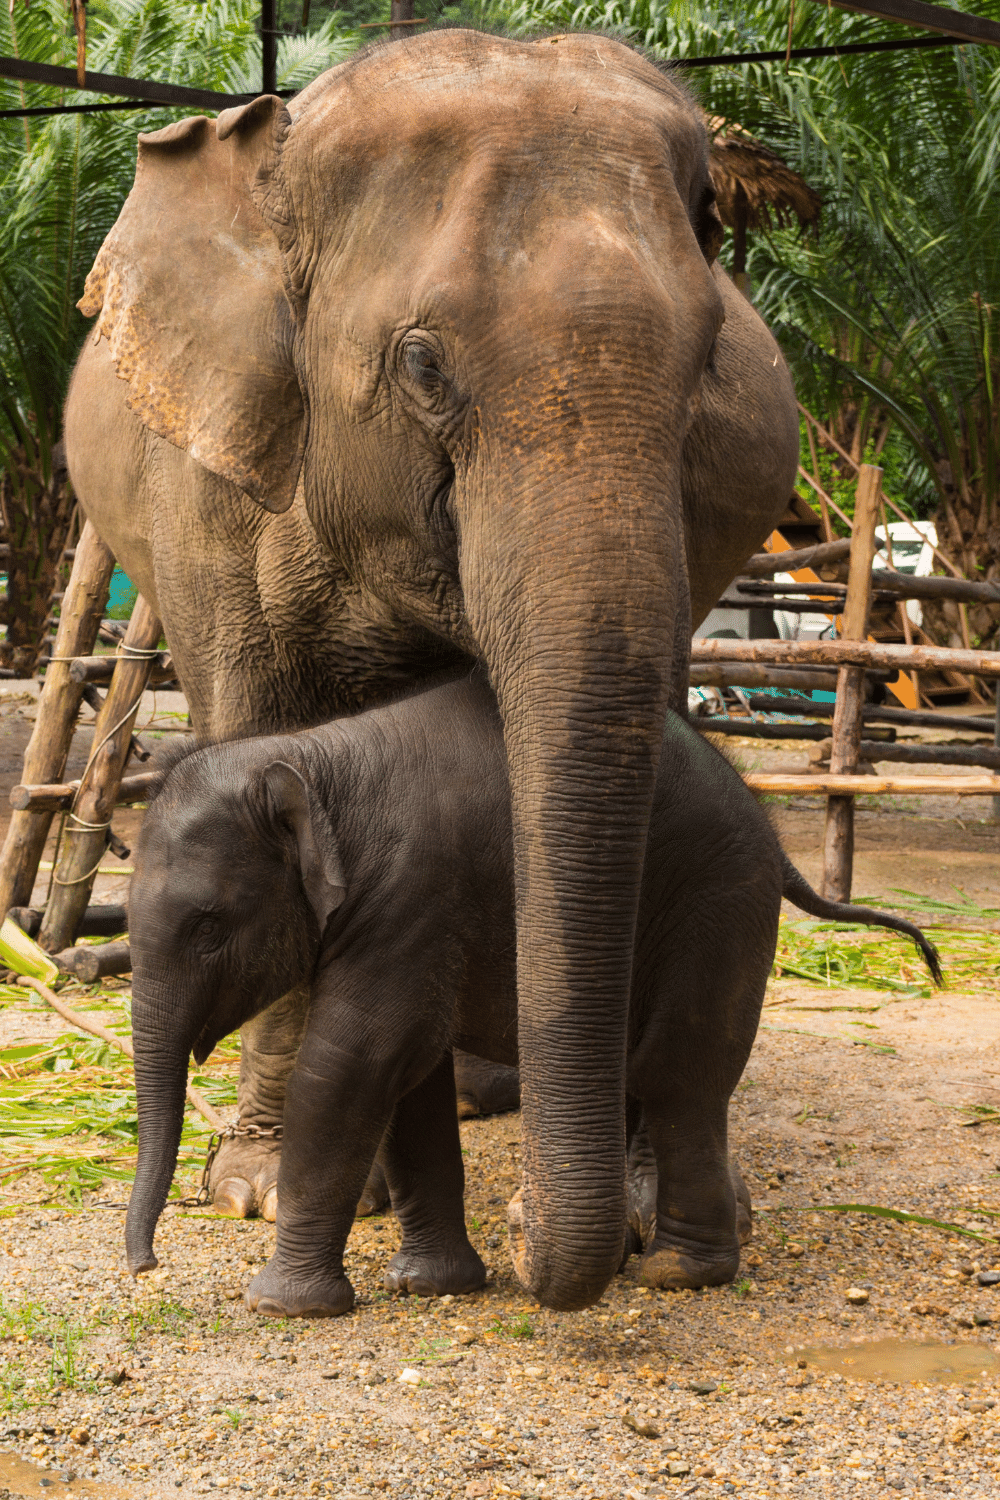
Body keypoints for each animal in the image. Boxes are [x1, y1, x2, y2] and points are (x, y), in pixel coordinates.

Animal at [68, 29, 797, 1308]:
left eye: (712, 358)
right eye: (421, 365)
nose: (546, 1243)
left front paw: (639, 1219)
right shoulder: (209, 490)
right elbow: (260, 722)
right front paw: (259, 1189)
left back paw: (486, 1095)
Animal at [127, 675, 941, 1320]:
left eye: (207, 927)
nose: (145, 1265)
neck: (313, 755)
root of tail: (767, 826)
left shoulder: (412, 898)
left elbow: (352, 1065)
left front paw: (282, 1307)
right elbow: (411, 1081)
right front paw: (431, 1287)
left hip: (718, 904)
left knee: (680, 1073)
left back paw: (678, 1274)